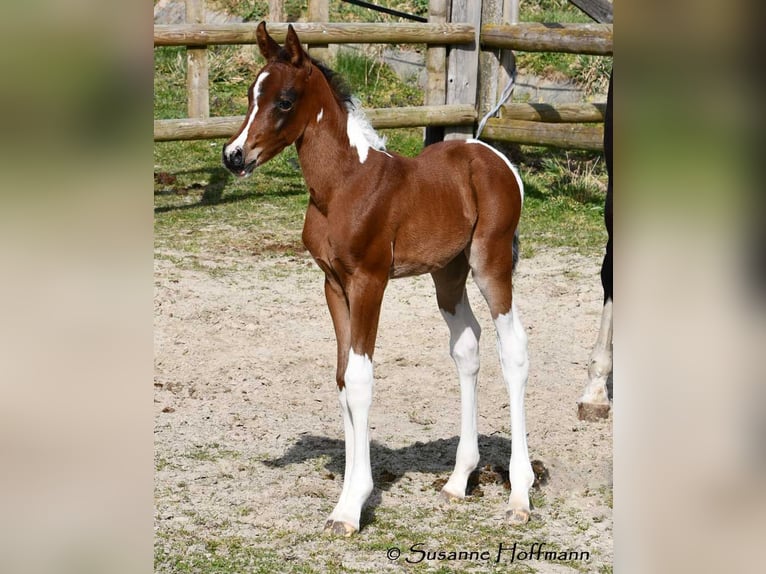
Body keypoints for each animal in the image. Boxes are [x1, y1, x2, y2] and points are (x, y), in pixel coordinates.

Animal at [222, 22, 533, 536]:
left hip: (491, 264)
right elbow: (344, 378)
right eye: (251, 94)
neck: (344, 185)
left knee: (513, 349)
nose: (234, 156)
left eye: (285, 100)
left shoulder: (369, 282)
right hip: (447, 275)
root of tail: (496, 158)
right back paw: (458, 482)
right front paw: (349, 497)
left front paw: (351, 508)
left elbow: (361, 378)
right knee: (467, 346)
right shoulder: (334, 285)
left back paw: (520, 495)